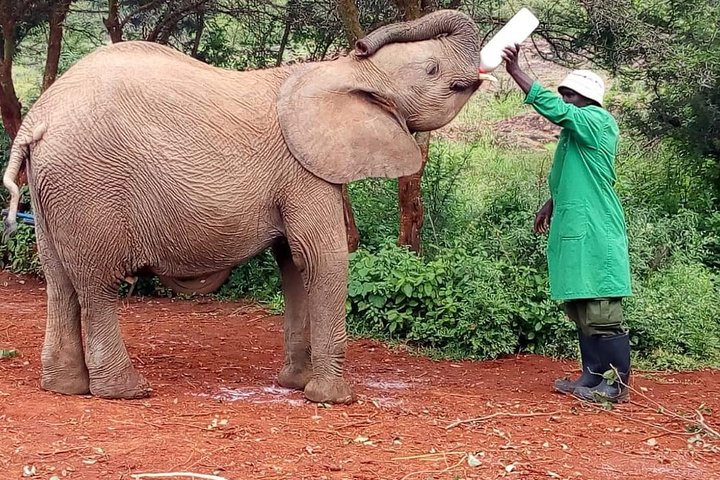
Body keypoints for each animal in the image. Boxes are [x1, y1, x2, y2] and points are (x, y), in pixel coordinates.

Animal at [2, 9, 490, 404]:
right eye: (432, 68)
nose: (362, 42)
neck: (342, 73)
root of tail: (36, 119)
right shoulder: (303, 170)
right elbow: (321, 258)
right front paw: (332, 398)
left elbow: (293, 262)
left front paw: (295, 384)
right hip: (88, 186)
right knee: (97, 285)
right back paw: (127, 391)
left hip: (53, 191)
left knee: (59, 282)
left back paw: (64, 388)